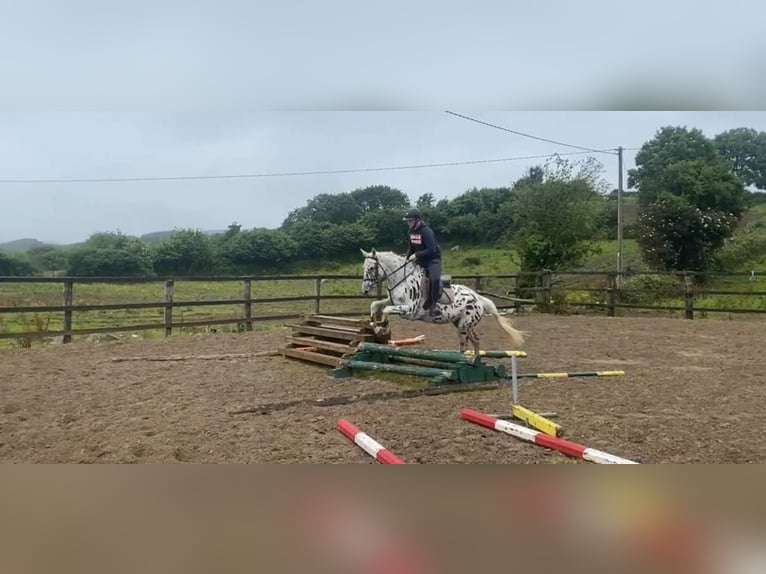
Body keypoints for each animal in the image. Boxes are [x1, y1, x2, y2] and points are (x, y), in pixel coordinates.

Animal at [360, 250, 528, 358]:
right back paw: (475, 361)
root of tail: (479, 298)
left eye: (371, 268)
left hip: (464, 325)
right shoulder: (392, 301)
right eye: (364, 268)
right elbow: (375, 305)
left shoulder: (409, 311)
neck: (402, 279)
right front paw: (374, 324)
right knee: (474, 341)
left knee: (465, 344)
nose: (364, 290)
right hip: (461, 324)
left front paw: (381, 328)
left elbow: (386, 310)